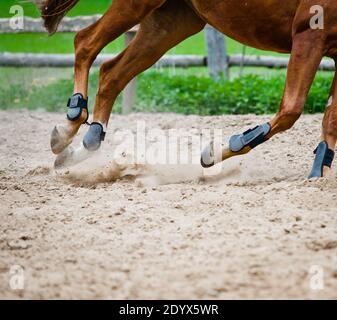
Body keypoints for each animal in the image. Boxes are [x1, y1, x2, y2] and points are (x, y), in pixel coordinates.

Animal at [34, 0, 336, 178]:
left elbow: (329, 120)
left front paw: (318, 172)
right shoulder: (310, 32)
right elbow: (291, 110)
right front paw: (220, 150)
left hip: (171, 22)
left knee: (111, 73)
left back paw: (83, 145)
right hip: (140, 5)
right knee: (85, 42)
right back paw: (70, 122)